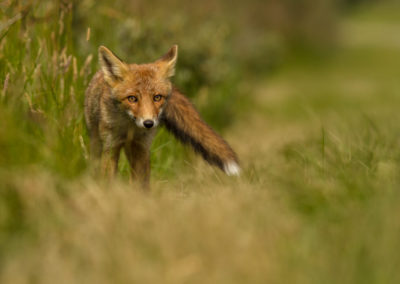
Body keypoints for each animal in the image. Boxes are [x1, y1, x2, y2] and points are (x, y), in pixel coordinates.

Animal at [84, 44, 239, 189]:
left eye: (157, 97)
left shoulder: (141, 147)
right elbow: (108, 180)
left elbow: (139, 183)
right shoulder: (111, 146)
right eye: (132, 98)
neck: (129, 128)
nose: (148, 123)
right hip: (97, 142)